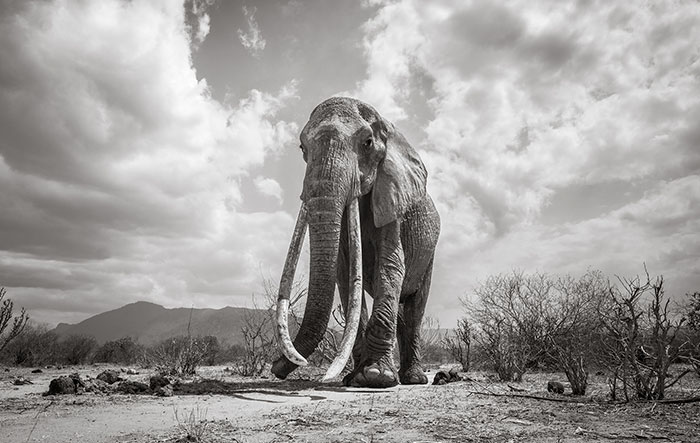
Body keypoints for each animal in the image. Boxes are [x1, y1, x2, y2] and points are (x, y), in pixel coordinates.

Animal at [272, 97, 440, 388]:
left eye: (367, 143)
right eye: (303, 147)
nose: (275, 368)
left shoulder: (392, 197)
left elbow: (391, 264)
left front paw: (376, 377)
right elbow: (346, 273)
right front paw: (356, 378)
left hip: (430, 253)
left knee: (415, 307)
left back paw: (413, 379)